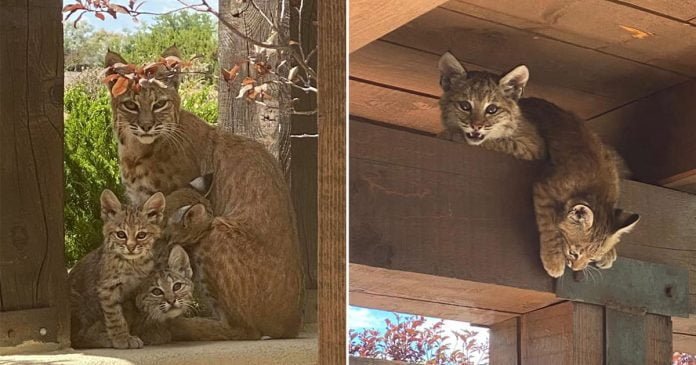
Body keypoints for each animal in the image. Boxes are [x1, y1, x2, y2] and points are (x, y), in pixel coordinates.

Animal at [69, 189, 166, 348]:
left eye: (141, 235)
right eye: (121, 234)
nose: (131, 247)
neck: (133, 263)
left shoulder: (137, 290)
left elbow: (133, 314)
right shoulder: (107, 288)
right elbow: (115, 316)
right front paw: (122, 339)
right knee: (77, 337)